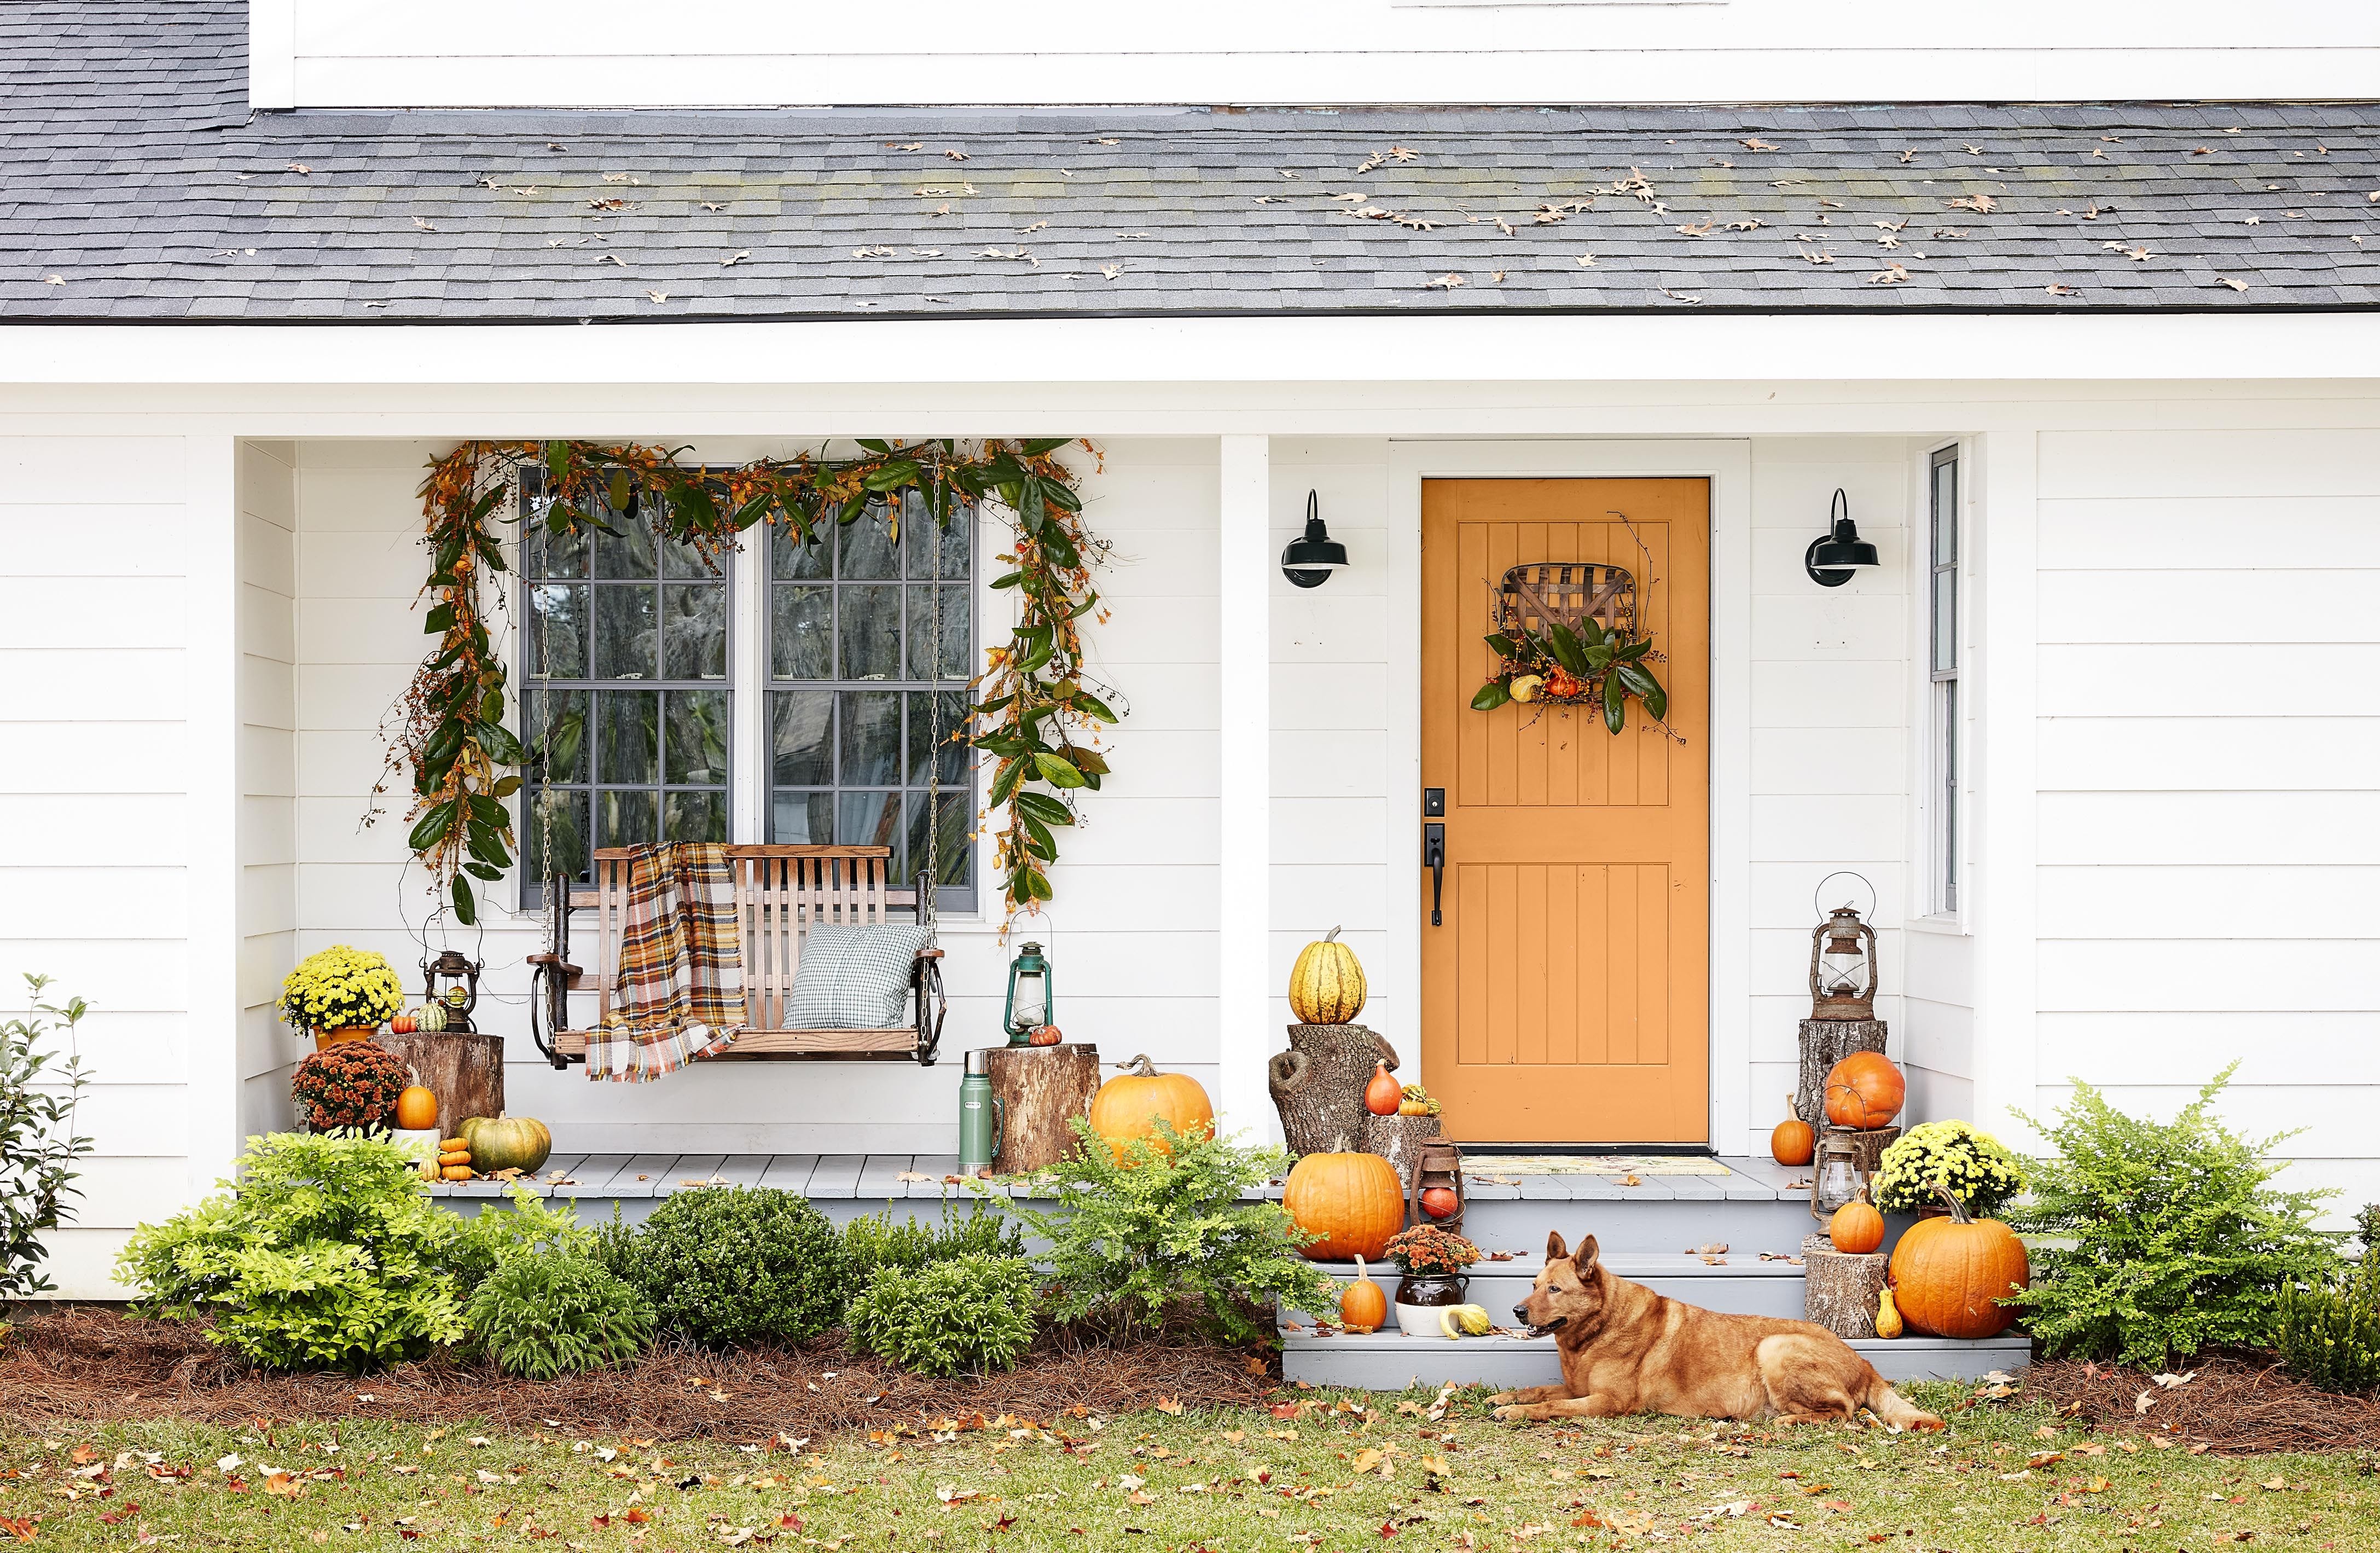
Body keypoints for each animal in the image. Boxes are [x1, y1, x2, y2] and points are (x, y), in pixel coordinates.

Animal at [1494, 1229, 1942, 1429]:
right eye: (1533, 1285)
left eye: (1555, 1289)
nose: (1516, 1311)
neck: (1596, 1332)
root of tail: (1864, 1362)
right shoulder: (1577, 1388)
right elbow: (1540, 1390)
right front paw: (1507, 1397)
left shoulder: (1608, 1402)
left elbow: (1550, 1406)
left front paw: (1516, 1411)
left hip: (1774, 1348)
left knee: (1844, 1412)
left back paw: (1787, 1424)